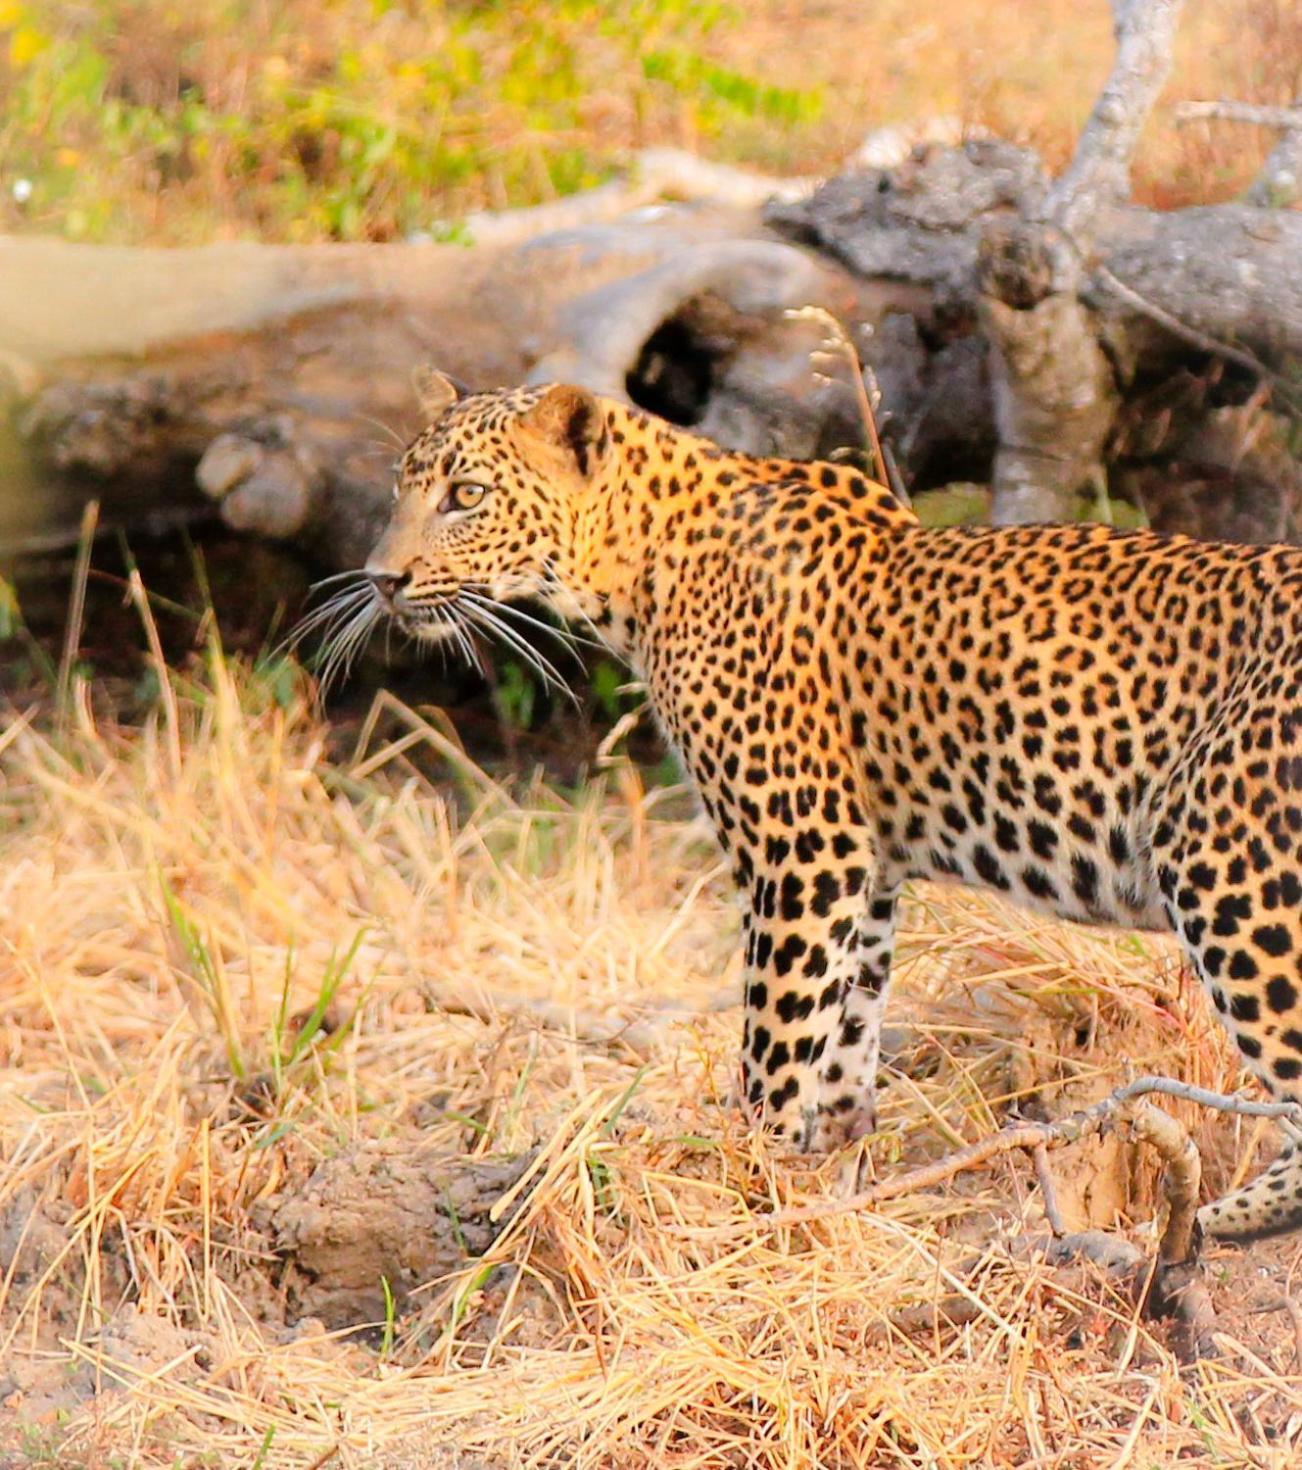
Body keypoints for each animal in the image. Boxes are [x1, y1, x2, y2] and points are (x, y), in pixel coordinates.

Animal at [357, 370, 1302, 1240]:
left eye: (466, 496)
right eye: (401, 488)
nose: (382, 580)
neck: (642, 565)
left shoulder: (801, 848)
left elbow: (775, 1040)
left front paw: (745, 1181)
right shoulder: (866, 871)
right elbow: (846, 1036)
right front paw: (832, 1176)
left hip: (1226, 865)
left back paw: (1206, 1220)